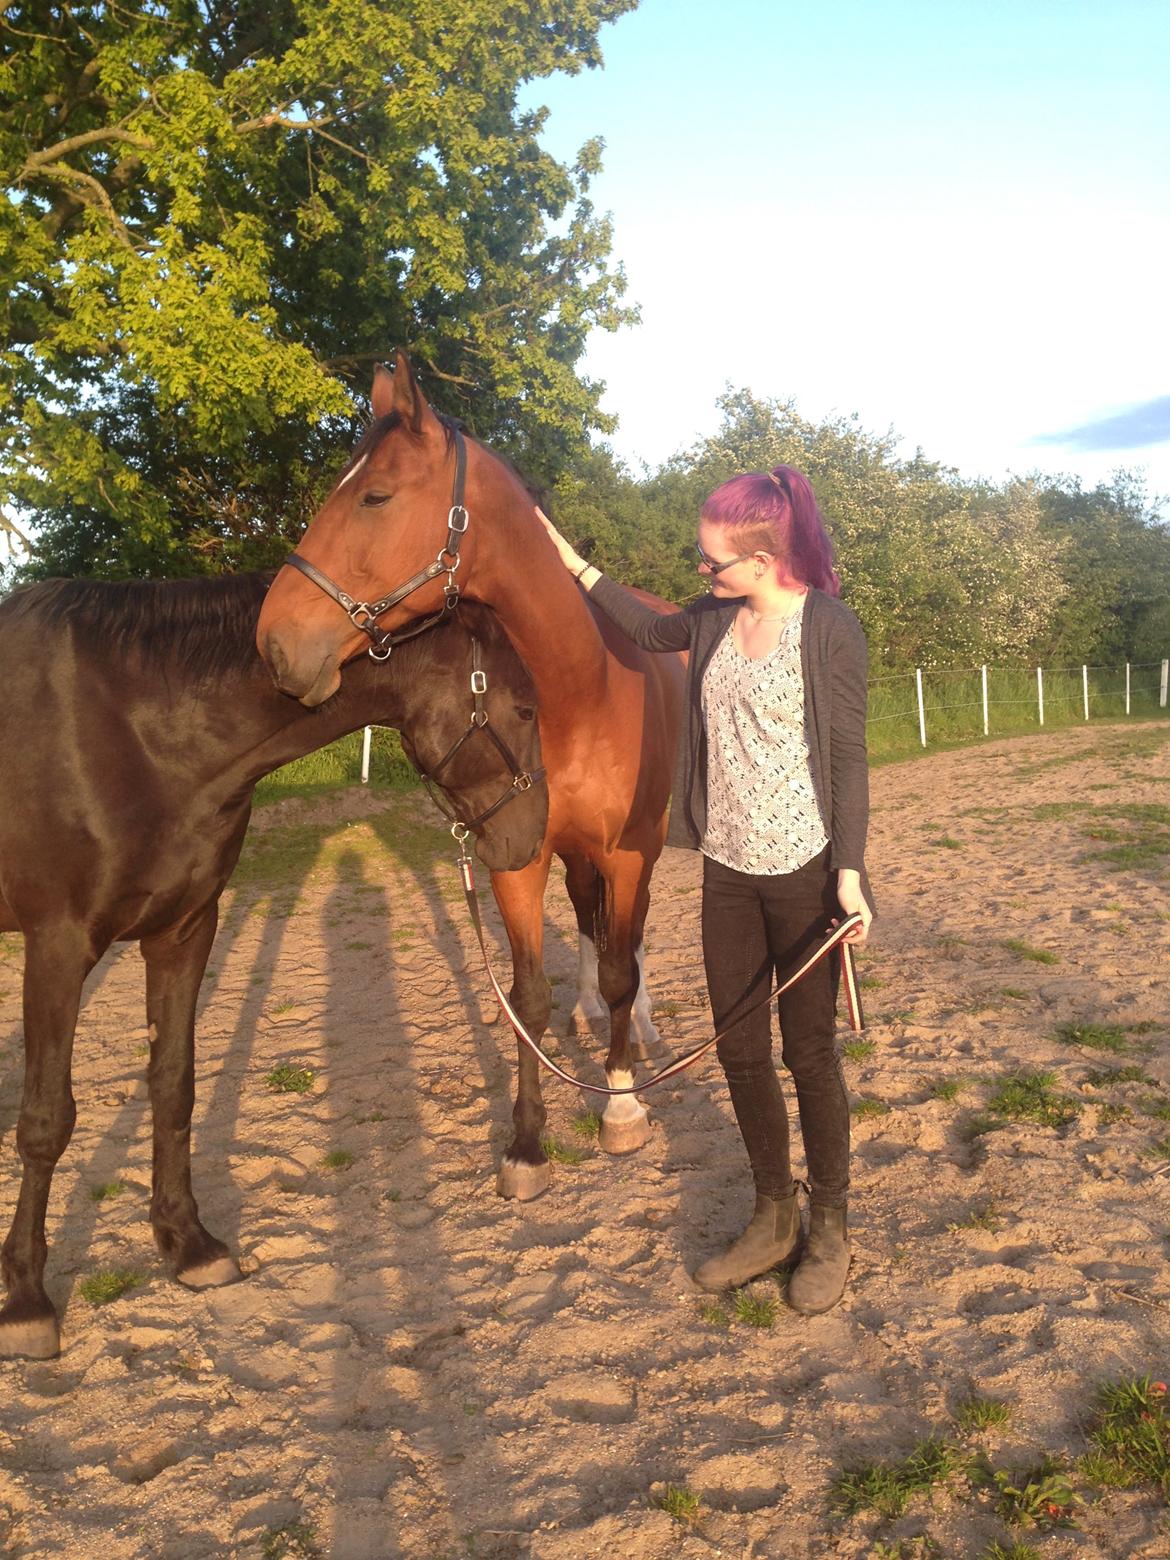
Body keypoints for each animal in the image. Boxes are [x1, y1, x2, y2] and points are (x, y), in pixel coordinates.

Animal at [0, 580, 549, 1360]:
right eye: (525, 709)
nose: (532, 840)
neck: (133, 725)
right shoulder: (58, 945)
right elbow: (47, 1121)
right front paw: (24, 1298)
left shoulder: (184, 932)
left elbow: (173, 1085)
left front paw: (189, 1245)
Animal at [258, 357, 686, 1204]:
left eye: (375, 495)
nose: (275, 642)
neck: (579, 689)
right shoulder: (519, 856)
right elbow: (528, 999)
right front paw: (525, 1146)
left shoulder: (627, 851)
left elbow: (623, 970)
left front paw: (621, 1106)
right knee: (588, 923)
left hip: (645, 846)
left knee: (629, 942)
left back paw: (641, 1031)